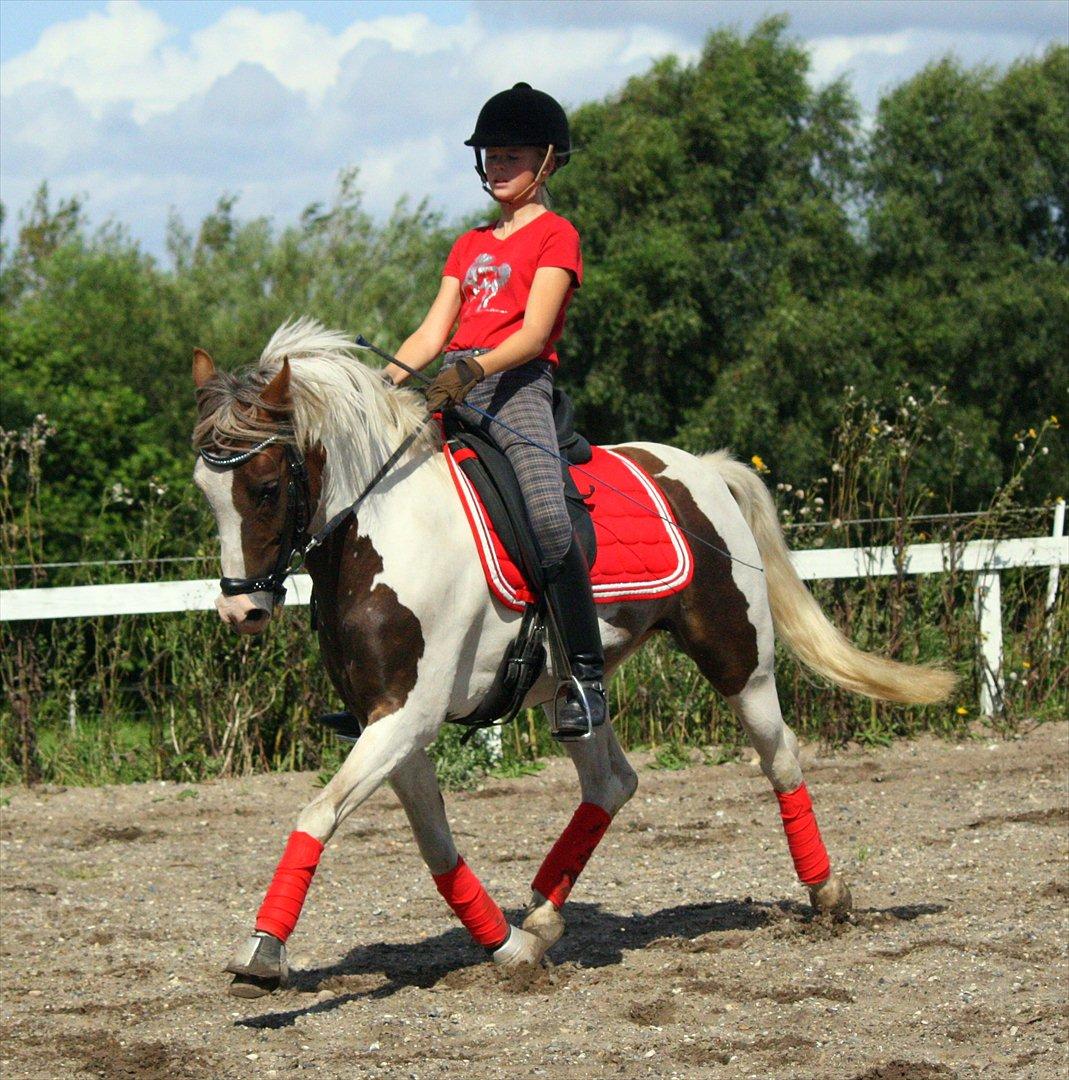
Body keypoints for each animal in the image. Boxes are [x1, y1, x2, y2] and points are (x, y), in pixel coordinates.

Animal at [191, 319, 953, 998]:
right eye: (205, 490)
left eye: (265, 486)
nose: (241, 612)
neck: (385, 534)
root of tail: (701, 469)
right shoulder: (387, 722)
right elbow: (434, 844)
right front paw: (507, 947)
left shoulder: (409, 717)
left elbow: (316, 813)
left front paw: (261, 952)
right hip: (575, 685)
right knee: (611, 781)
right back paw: (542, 918)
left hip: (739, 658)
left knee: (780, 758)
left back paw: (826, 894)